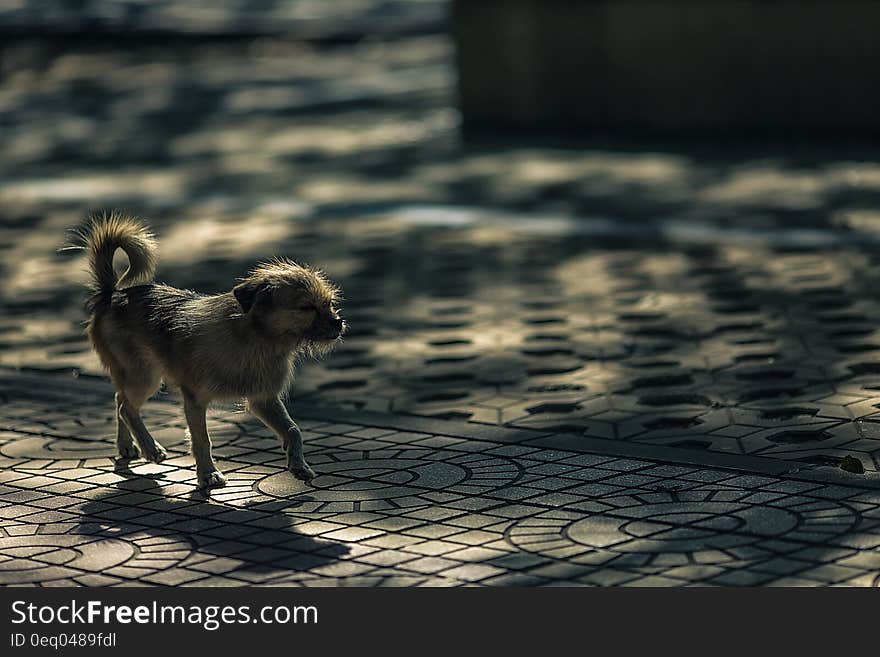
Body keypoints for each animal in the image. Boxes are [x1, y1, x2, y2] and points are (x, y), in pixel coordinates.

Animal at [76, 214, 344, 486]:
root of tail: (111, 294)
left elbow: (293, 429)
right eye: (306, 307)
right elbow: (201, 440)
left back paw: (127, 445)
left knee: (119, 399)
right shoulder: (195, 401)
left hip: (138, 376)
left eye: (329, 304)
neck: (257, 341)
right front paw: (208, 474)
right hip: (144, 376)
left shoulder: (263, 399)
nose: (338, 322)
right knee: (126, 408)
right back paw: (150, 448)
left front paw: (298, 464)